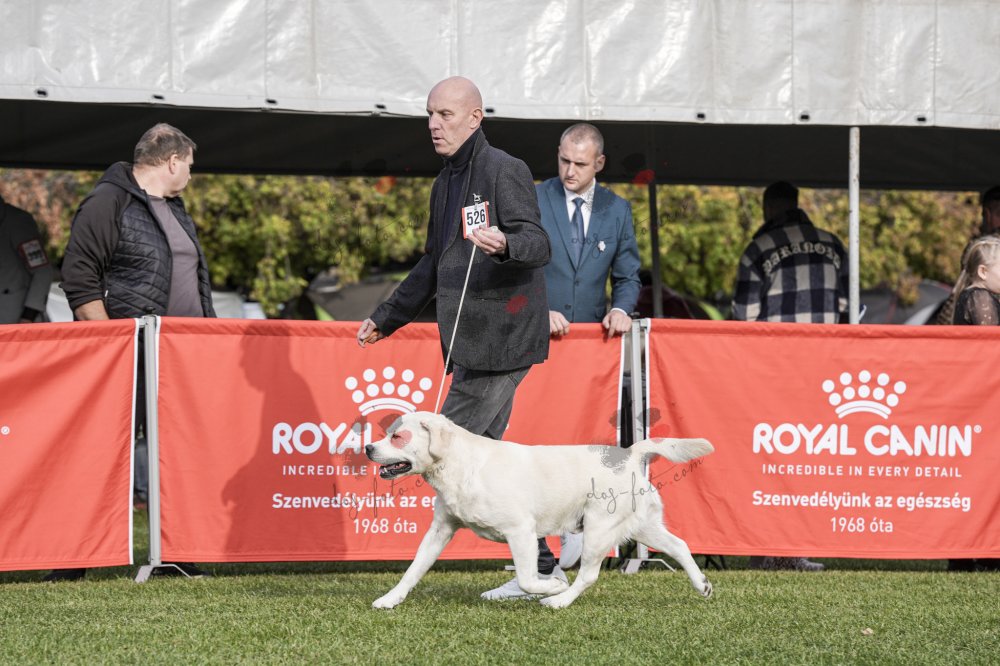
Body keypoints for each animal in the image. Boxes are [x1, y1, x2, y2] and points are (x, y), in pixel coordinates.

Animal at [364, 411, 714, 609]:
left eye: (398, 436)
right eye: (387, 433)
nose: (368, 447)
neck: (461, 464)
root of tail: (629, 453)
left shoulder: (521, 532)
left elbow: (527, 579)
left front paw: (553, 586)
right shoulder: (440, 529)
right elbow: (413, 570)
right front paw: (390, 600)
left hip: (598, 530)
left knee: (588, 575)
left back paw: (558, 601)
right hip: (643, 525)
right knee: (680, 546)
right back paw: (702, 584)